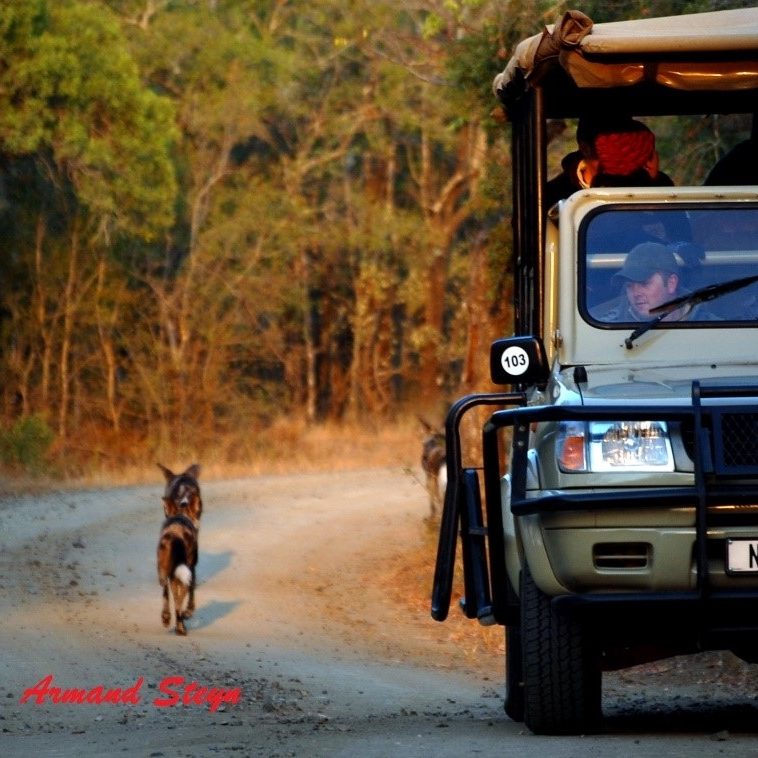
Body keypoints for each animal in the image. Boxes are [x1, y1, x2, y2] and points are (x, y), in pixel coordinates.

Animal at [157, 464, 203, 636]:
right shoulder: (191, 569)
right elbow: (190, 595)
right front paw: (189, 612)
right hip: (183, 572)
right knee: (178, 602)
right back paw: (181, 627)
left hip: (164, 572)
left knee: (165, 594)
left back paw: (167, 619)